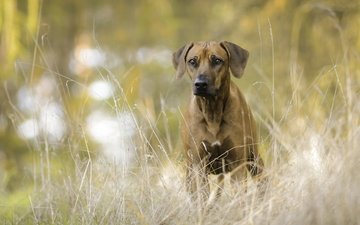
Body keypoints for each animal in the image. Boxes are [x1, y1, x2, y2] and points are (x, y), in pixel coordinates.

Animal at [173, 40, 262, 195]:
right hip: (190, 171)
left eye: (217, 60)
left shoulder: (237, 163)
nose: (200, 84)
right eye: (192, 61)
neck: (212, 111)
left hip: (254, 159)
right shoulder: (199, 165)